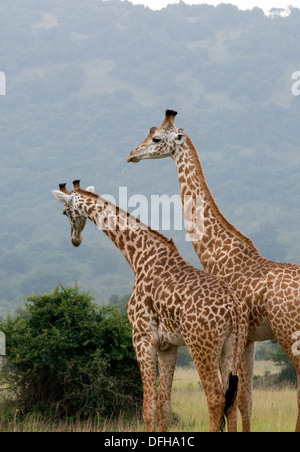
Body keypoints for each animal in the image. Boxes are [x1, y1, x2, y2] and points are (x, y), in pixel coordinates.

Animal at [52, 179, 248, 430]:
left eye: (64, 211)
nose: (74, 240)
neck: (139, 258)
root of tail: (233, 306)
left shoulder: (142, 338)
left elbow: (147, 407)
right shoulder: (168, 346)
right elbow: (164, 405)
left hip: (201, 346)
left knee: (215, 399)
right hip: (232, 348)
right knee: (232, 402)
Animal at [126, 108, 300, 430]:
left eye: (155, 138)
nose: (132, 154)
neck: (219, 252)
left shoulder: (234, 336)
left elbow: (233, 398)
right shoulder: (248, 339)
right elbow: (245, 400)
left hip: (288, 331)